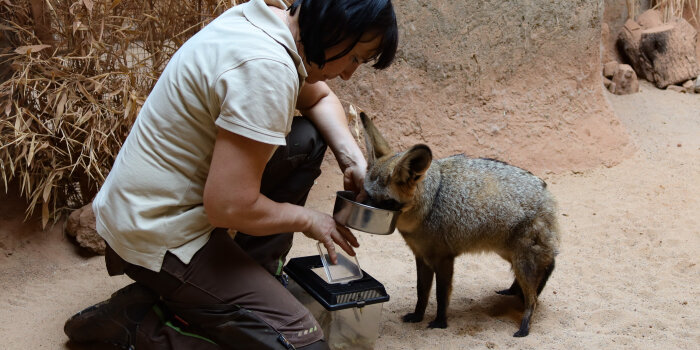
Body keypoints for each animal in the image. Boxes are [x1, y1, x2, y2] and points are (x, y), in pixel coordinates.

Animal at [358, 111, 560, 336]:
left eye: (387, 202)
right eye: (367, 193)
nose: (366, 211)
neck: (429, 205)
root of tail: (545, 189)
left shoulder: (444, 259)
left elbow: (440, 296)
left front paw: (440, 322)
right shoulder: (421, 257)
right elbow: (421, 292)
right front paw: (418, 316)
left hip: (521, 260)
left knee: (535, 293)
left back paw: (525, 324)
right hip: (508, 253)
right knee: (548, 265)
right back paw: (514, 291)